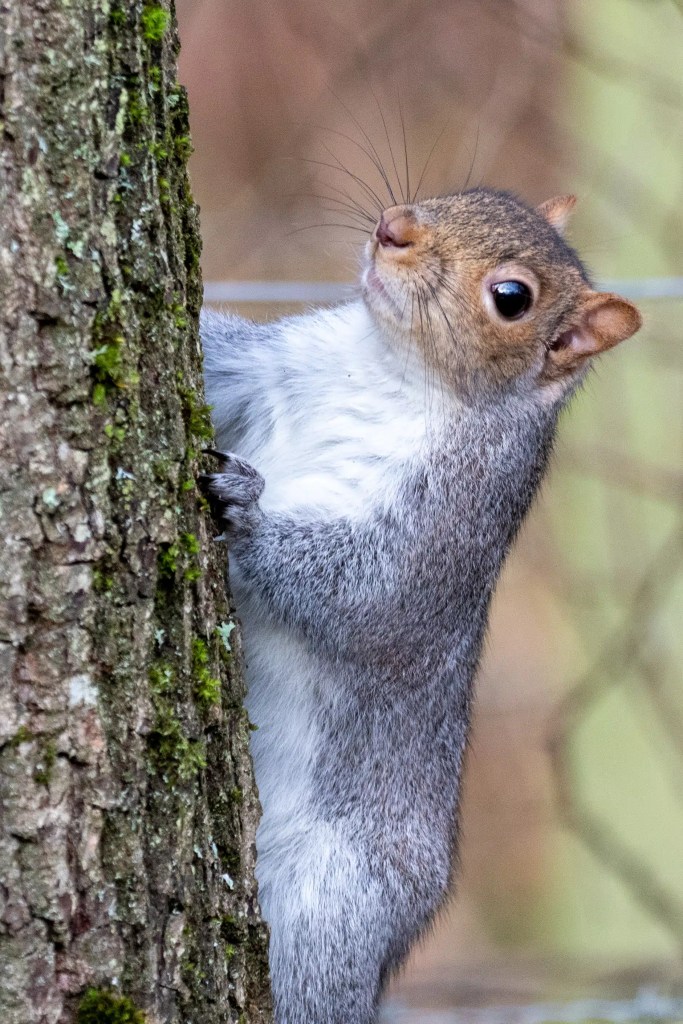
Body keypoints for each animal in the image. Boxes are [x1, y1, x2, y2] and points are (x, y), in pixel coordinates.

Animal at [200, 187, 641, 1024]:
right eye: (472, 195)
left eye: (512, 298)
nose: (393, 228)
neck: (387, 366)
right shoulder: (276, 363)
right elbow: (216, 352)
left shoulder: (445, 525)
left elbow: (367, 596)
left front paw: (248, 513)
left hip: (330, 905)